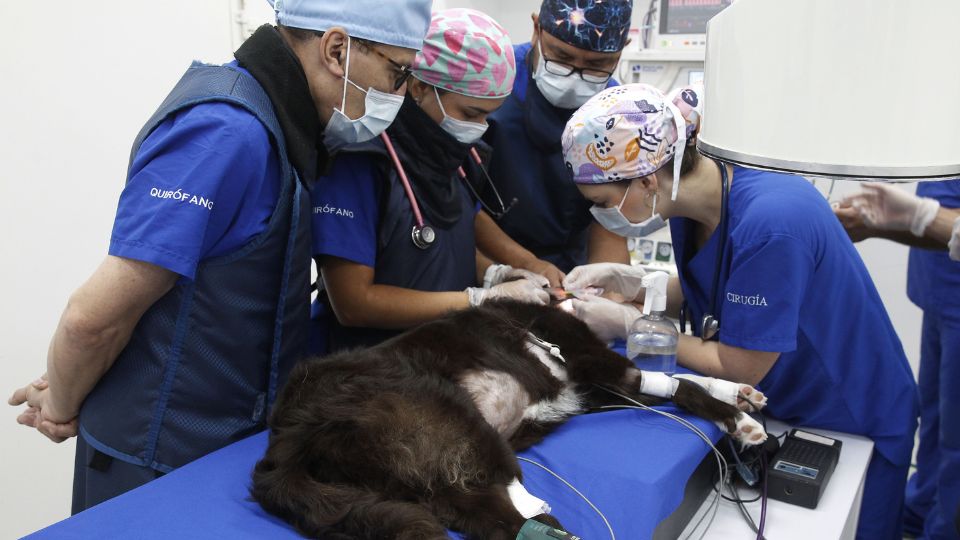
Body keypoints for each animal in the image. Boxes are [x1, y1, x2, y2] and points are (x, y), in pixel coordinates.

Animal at [249, 300, 764, 540]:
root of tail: (287, 436)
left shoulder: (593, 391)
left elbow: (680, 379)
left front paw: (739, 394)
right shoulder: (602, 369)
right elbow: (677, 383)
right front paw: (737, 417)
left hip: (432, 480)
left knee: (504, 524)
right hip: (456, 424)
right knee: (518, 508)